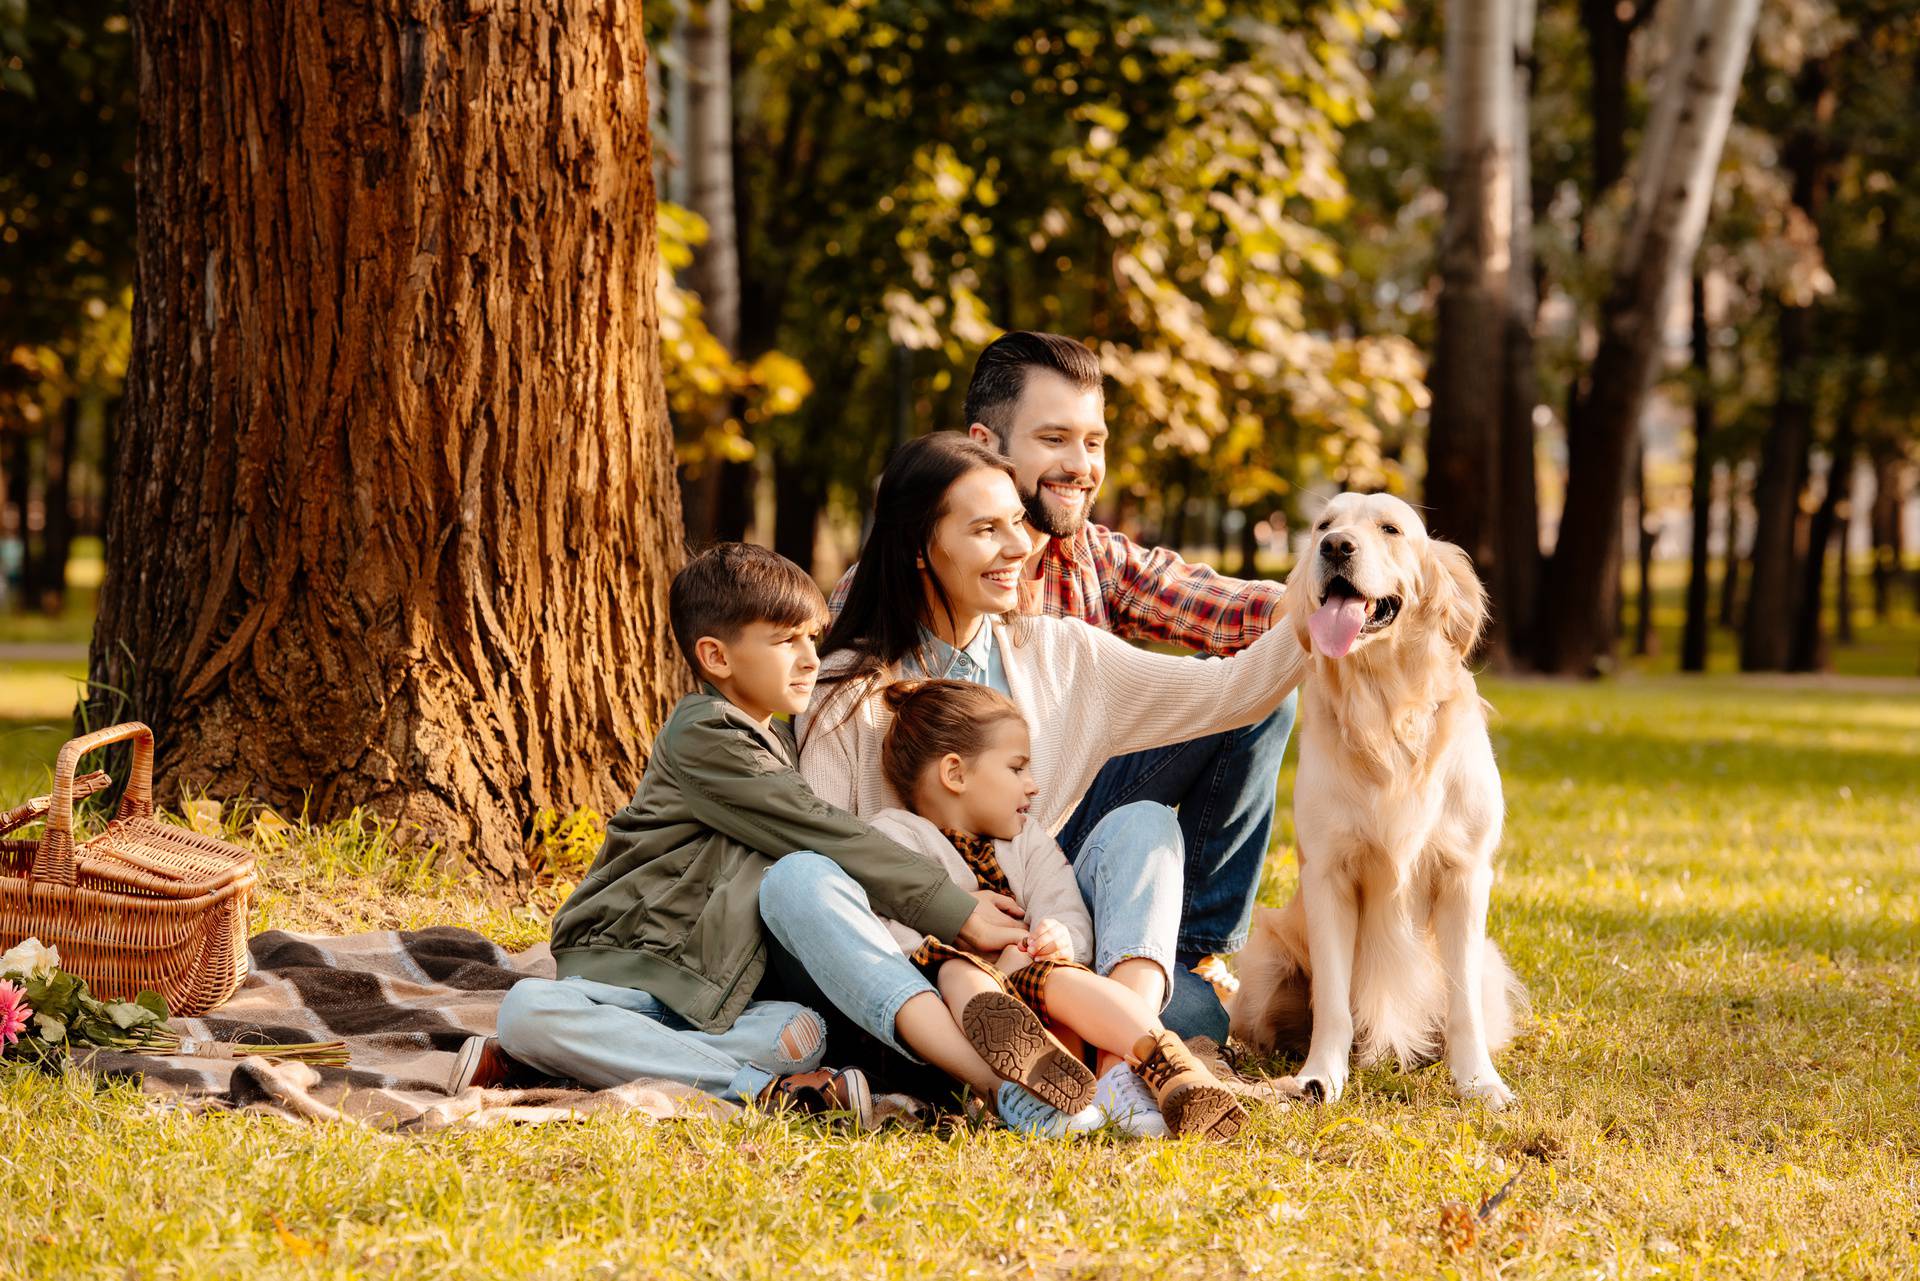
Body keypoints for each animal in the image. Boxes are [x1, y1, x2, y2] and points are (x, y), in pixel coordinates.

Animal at [1228, 491, 1528, 1113]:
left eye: (1391, 528)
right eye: (1323, 524)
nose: (1335, 547)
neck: (1385, 711)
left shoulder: (1466, 874)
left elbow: (1462, 1006)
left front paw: (1479, 1082)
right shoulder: (1329, 874)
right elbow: (1334, 1004)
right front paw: (1320, 1077)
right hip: (1265, 961)